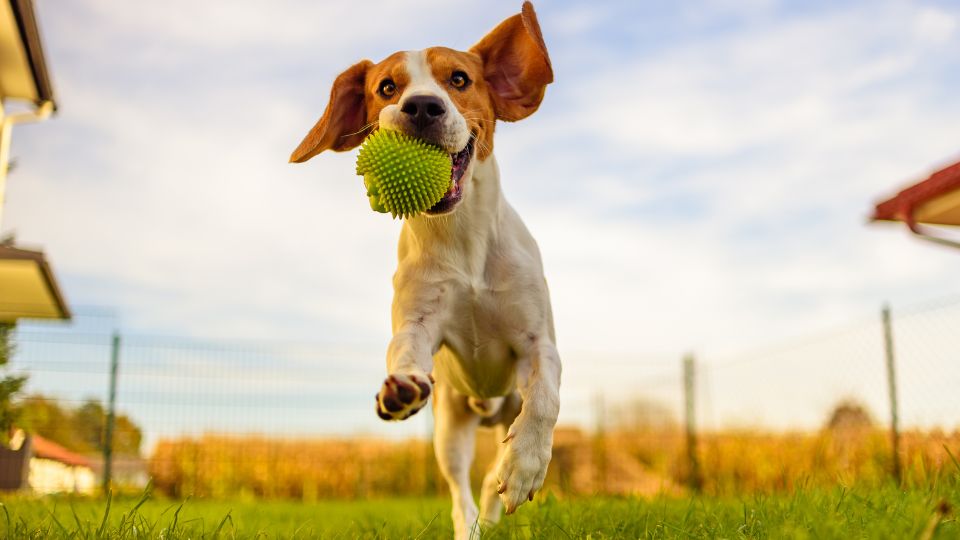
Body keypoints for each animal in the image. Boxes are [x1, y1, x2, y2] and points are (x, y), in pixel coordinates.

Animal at [288, 3, 560, 536]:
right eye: (386, 87)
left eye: (459, 79)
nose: (422, 107)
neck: (462, 240)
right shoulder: (418, 322)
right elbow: (404, 350)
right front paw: (401, 388)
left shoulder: (538, 342)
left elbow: (545, 398)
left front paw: (524, 466)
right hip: (450, 429)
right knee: (460, 492)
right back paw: (470, 524)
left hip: (504, 406)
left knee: (494, 466)